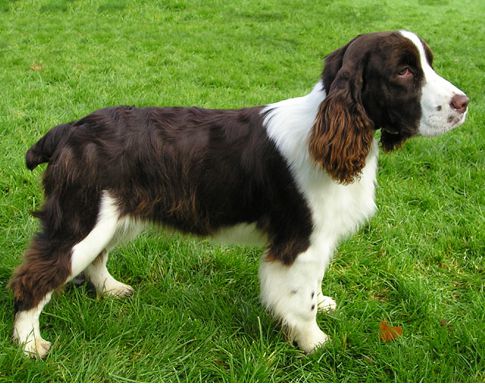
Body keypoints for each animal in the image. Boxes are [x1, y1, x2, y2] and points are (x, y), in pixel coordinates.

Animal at [9, 30, 466, 356]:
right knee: (35, 277)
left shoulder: (317, 240)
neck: (326, 128)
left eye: (428, 63)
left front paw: (324, 304)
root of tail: (69, 130)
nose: (464, 103)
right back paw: (30, 345)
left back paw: (111, 289)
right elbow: (300, 300)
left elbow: (315, 285)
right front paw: (315, 342)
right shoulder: (300, 241)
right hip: (83, 218)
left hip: (112, 214)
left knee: (94, 260)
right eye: (404, 71)